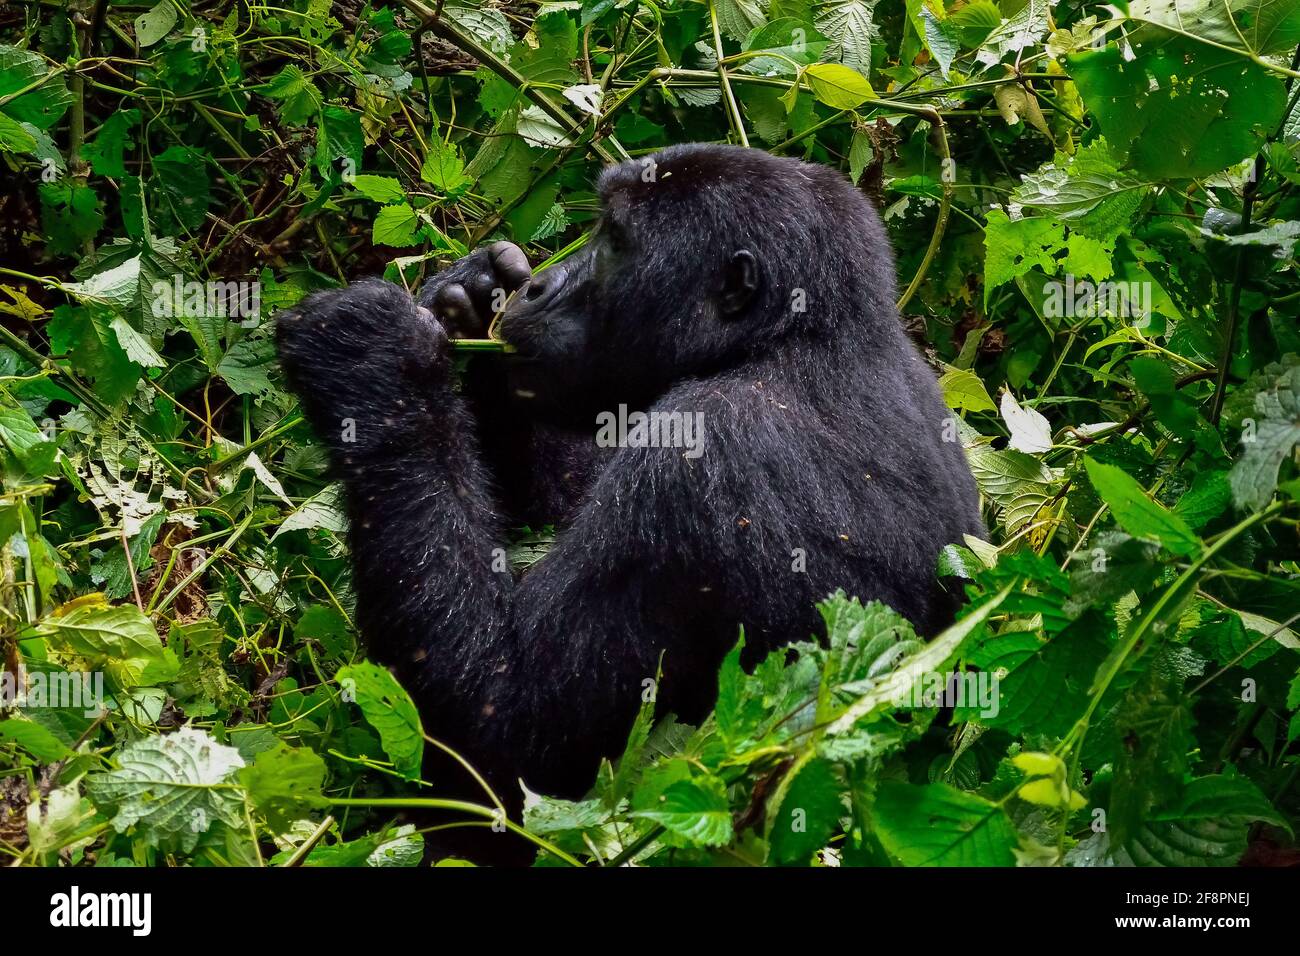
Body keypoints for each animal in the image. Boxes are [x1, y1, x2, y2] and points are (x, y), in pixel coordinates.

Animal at [276, 143, 982, 806]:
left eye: (615, 241)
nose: (538, 287)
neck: (799, 337)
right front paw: (472, 298)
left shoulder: (703, 459)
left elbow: (510, 732)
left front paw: (372, 359)